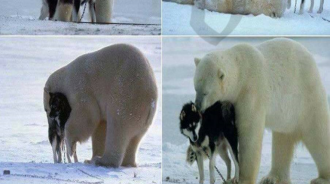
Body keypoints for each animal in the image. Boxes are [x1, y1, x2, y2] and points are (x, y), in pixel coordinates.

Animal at [193, 38, 330, 183]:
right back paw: (272, 178)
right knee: (282, 141)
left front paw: (243, 178)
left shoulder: (251, 90)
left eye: (206, 92)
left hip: (306, 95)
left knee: (319, 135)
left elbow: (249, 131)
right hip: (286, 115)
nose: (198, 106)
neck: (241, 70)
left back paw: (322, 178)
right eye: (196, 88)